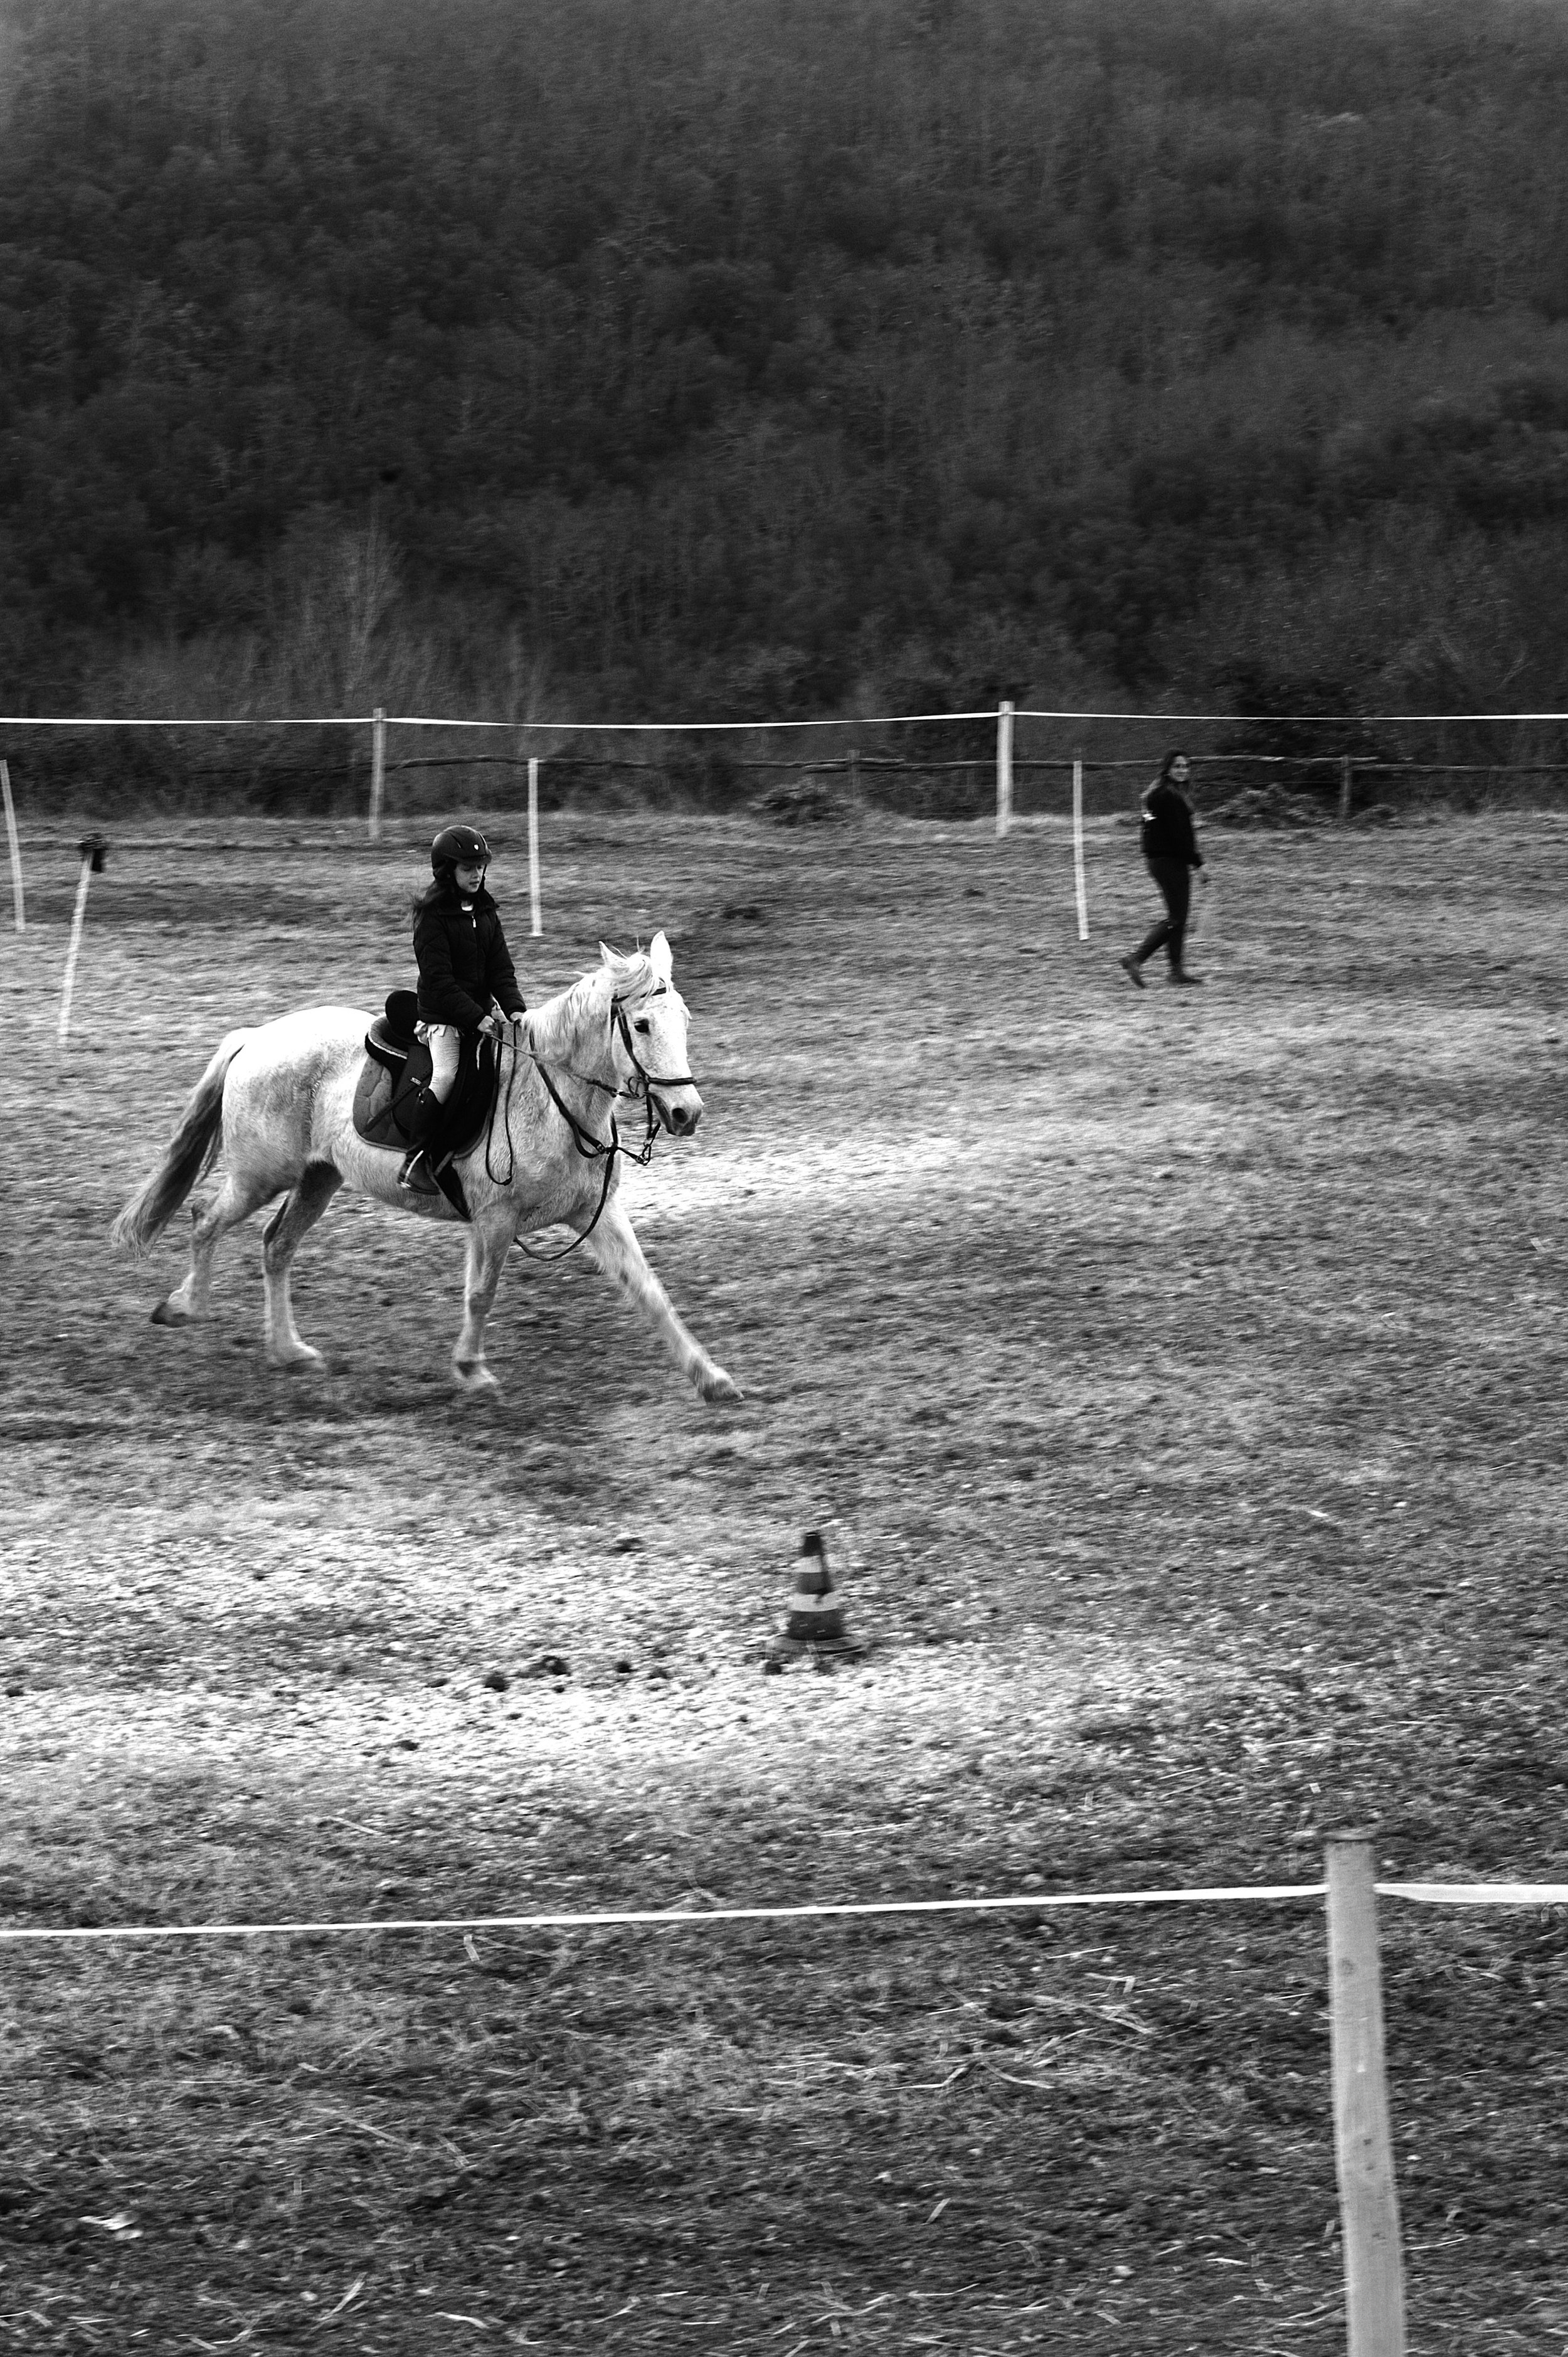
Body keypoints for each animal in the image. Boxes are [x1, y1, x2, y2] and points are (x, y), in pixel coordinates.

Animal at [110, 932, 741, 1402]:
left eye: (684, 1019)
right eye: (642, 1025)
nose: (686, 1113)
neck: (552, 1095)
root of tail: (256, 1037)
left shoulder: (596, 1213)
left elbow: (649, 1290)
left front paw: (710, 1377)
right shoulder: (495, 1219)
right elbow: (482, 1293)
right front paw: (472, 1370)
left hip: (318, 1178)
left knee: (276, 1247)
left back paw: (289, 1350)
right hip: (261, 1176)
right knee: (205, 1219)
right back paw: (185, 1307)